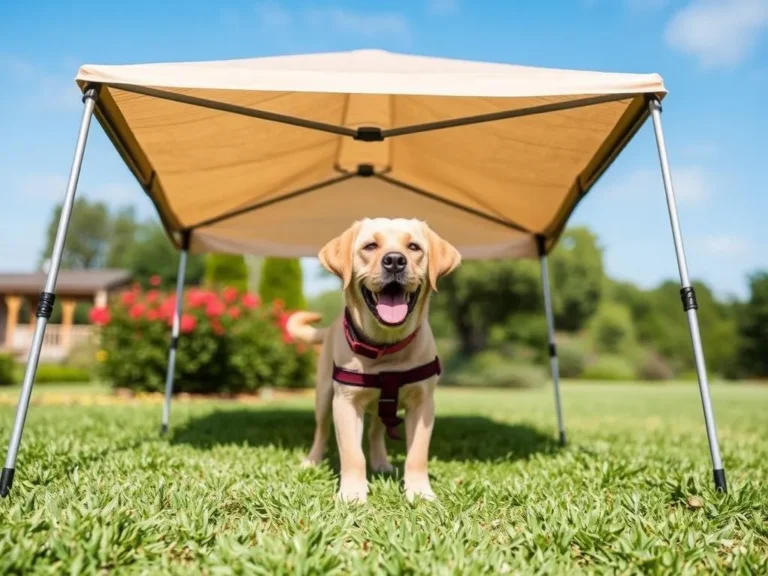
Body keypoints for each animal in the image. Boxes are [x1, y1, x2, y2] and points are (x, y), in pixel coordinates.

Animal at [284, 218, 460, 502]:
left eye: (414, 247)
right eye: (370, 246)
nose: (395, 261)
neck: (386, 348)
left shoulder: (423, 404)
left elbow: (417, 455)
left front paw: (420, 492)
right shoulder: (345, 402)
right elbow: (352, 454)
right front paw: (352, 494)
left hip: (381, 407)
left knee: (376, 432)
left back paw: (381, 462)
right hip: (323, 396)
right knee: (321, 431)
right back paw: (311, 462)